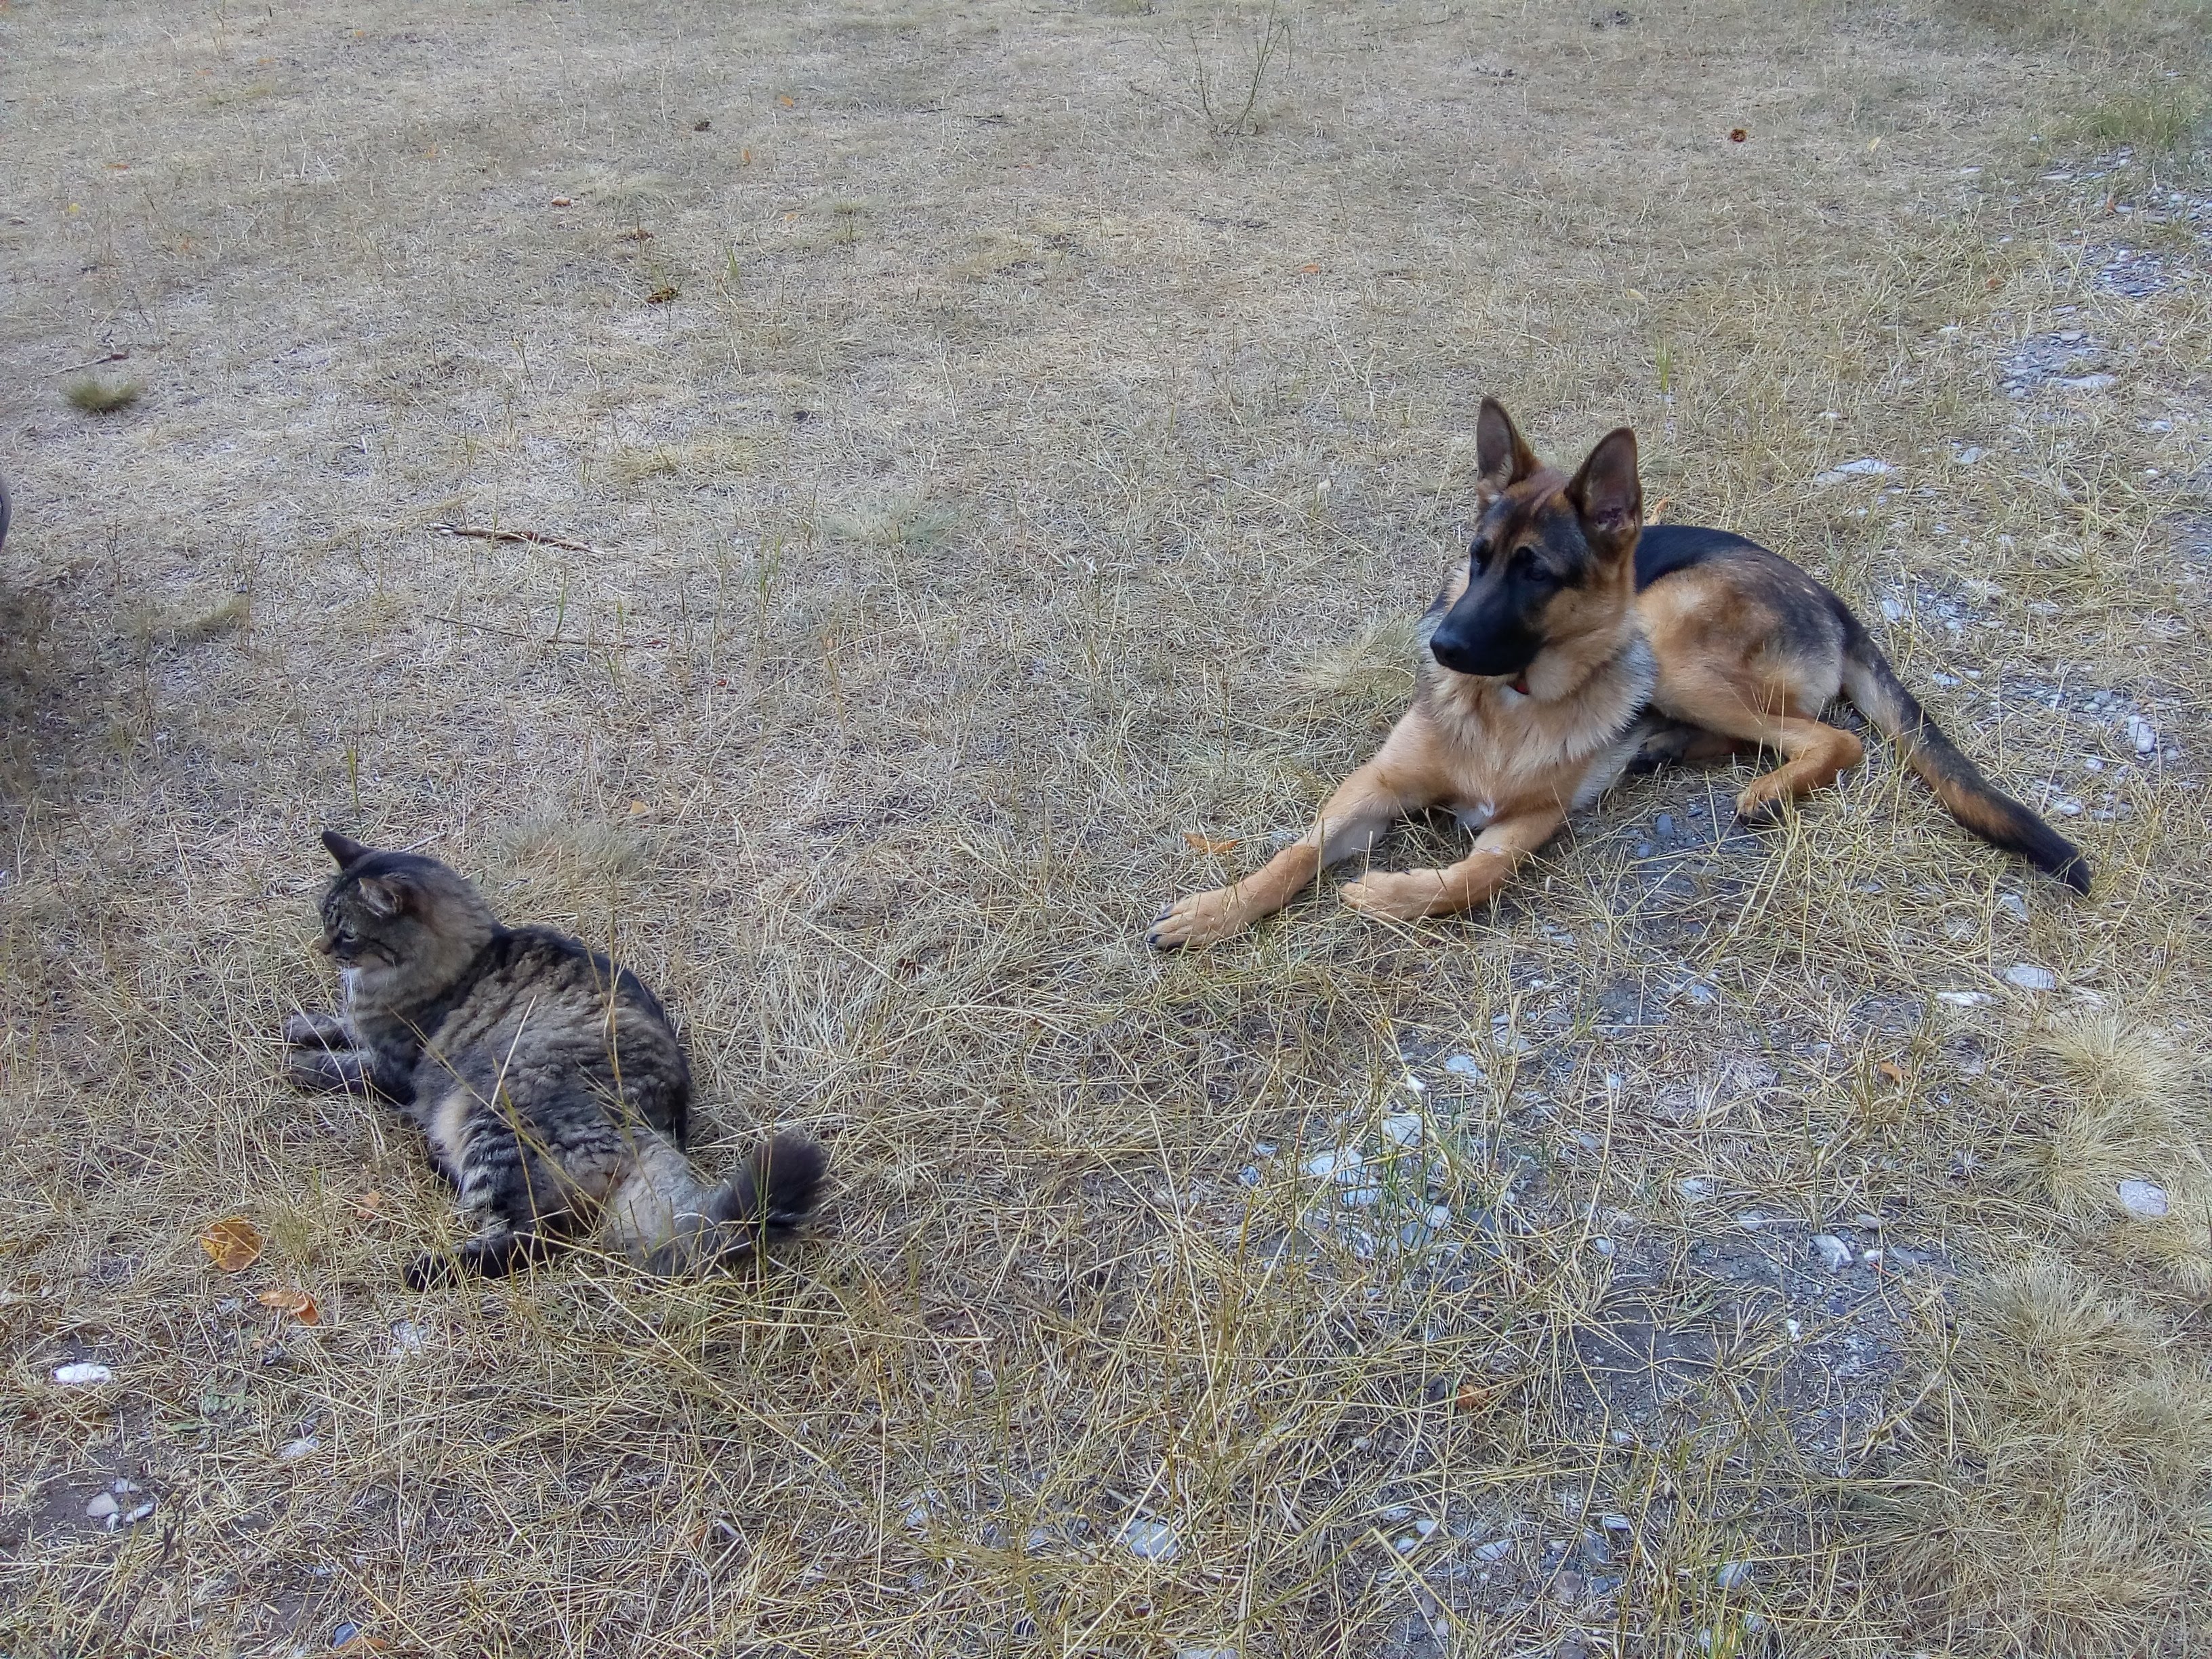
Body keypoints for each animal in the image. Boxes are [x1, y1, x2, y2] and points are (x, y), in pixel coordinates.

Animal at [282, 830, 826, 1288]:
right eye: (325, 920)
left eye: (347, 932)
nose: (321, 947)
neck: (466, 961)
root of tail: (656, 1129)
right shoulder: (367, 1029)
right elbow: (338, 1025)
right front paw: (300, 1027)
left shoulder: (396, 1065)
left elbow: (345, 1066)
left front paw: (298, 1067)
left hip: (493, 1115)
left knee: (531, 1238)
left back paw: (428, 1268)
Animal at [1146, 399, 2090, 949]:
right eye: (1477, 557)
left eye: (1534, 573)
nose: (1436, 644)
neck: (1509, 710)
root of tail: (1829, 595)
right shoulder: (1374, 785)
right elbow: (1296, 850)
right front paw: (1219, 909)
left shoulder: (1531, 822)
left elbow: (1481, 875)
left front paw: (1394, 895)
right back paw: (1667, 750)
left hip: (1667, 641)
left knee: (1831, 740)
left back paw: (1762, 787)